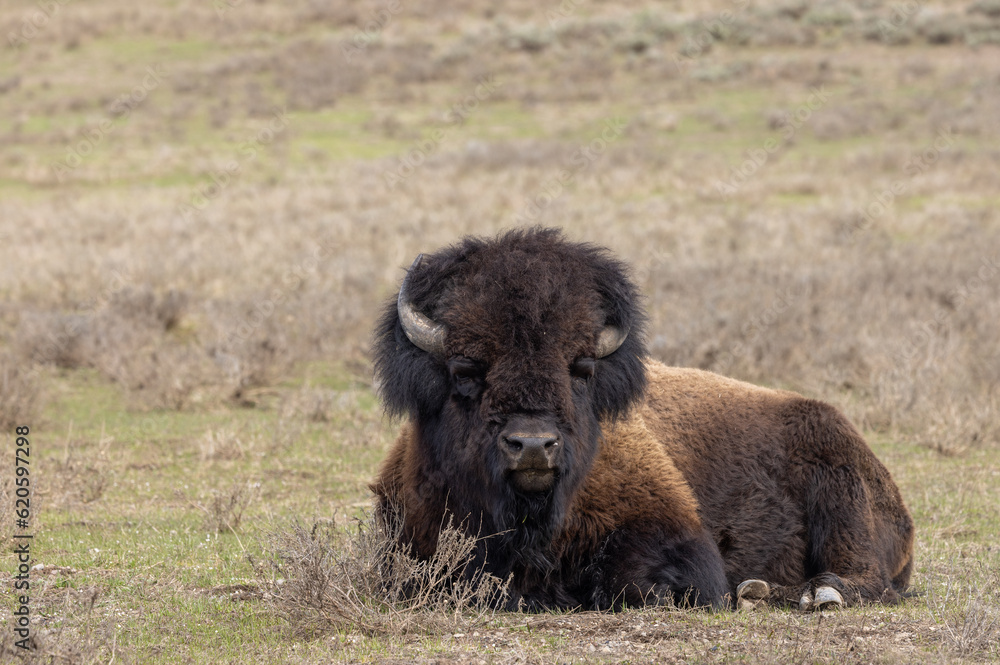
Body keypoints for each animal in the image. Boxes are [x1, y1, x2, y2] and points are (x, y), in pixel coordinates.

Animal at [371, 228, 913, 611]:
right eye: (465, 369)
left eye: (582, 368)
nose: (533, 446)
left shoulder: (676, 536)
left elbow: (645, 583)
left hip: (841, 502)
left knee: (868, 579)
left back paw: (813, 593)